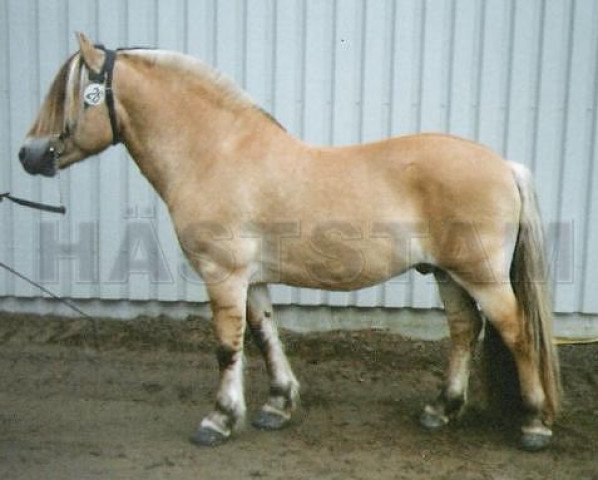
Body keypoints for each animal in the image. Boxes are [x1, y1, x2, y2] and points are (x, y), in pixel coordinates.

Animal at [18, 32, 564, 450]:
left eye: (66, 95)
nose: (28, 154)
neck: (215, 154)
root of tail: (504, 165)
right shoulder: (251, 278)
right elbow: (264, 335)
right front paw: (277, 406)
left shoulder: (222, 275)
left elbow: (227, 346)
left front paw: (219, 420)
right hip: (448, 274)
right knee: (463, 331)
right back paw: (440, 409)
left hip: (482, 276)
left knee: (517, 332)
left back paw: (534, 425)